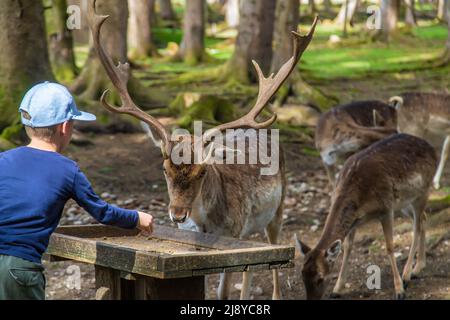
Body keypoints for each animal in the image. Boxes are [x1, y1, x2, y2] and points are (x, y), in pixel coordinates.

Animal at [88, 0, 318, 300]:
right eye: (164, 169)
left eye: (202, 172)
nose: (177, 214)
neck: (206, 222)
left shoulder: (233, 233)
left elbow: (222, 291)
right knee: (254, 263)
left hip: (278, 208)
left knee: (274, 254)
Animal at [298, 133, 436, 300]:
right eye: (302, 276)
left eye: (320, 278)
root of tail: (431, 147)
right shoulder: (354, 221)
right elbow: (347, 247)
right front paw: (337, 289)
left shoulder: (386, 208)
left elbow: (389, 246)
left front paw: (399, 291)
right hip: (405, 202)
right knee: (423, 218)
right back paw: (419, 267)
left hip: (423, 191)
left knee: (417, 227)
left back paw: (407, 275)